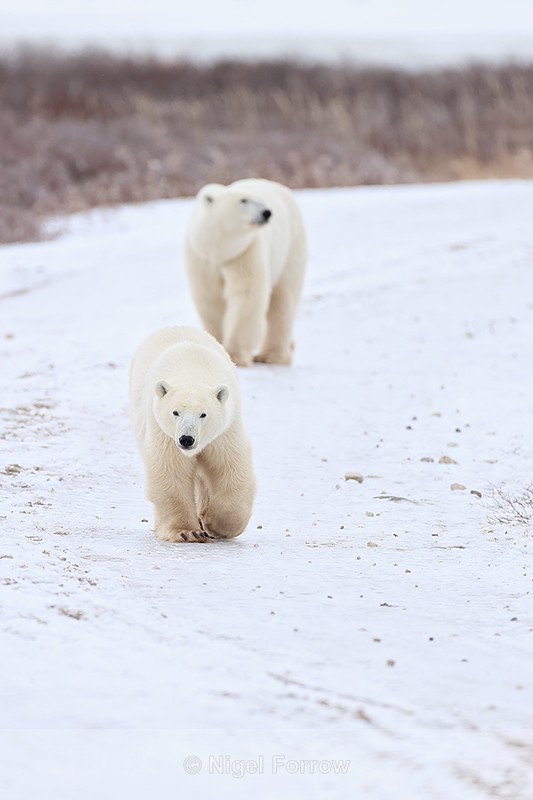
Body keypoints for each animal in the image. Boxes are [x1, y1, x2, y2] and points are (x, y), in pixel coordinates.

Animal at [130, 326, 256, 542]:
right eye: (175, 412)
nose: (186, 439)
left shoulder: (224, 431)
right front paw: (188, 531)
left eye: (203, 414)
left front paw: (216, 524)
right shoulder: (163, 432)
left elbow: (230, 464)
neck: (192, 369)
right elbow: (169, 469)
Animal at [185, 178, 307, 367]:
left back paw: (272, 356)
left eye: (262, 201)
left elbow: (246, 293)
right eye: (243, 200)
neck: (219, 251)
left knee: (284, 298)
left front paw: (235, 355)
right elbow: (210, 297)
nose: (267, 213)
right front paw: (216, 345)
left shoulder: (245, 251)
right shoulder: (202, 260)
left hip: (291, 247)